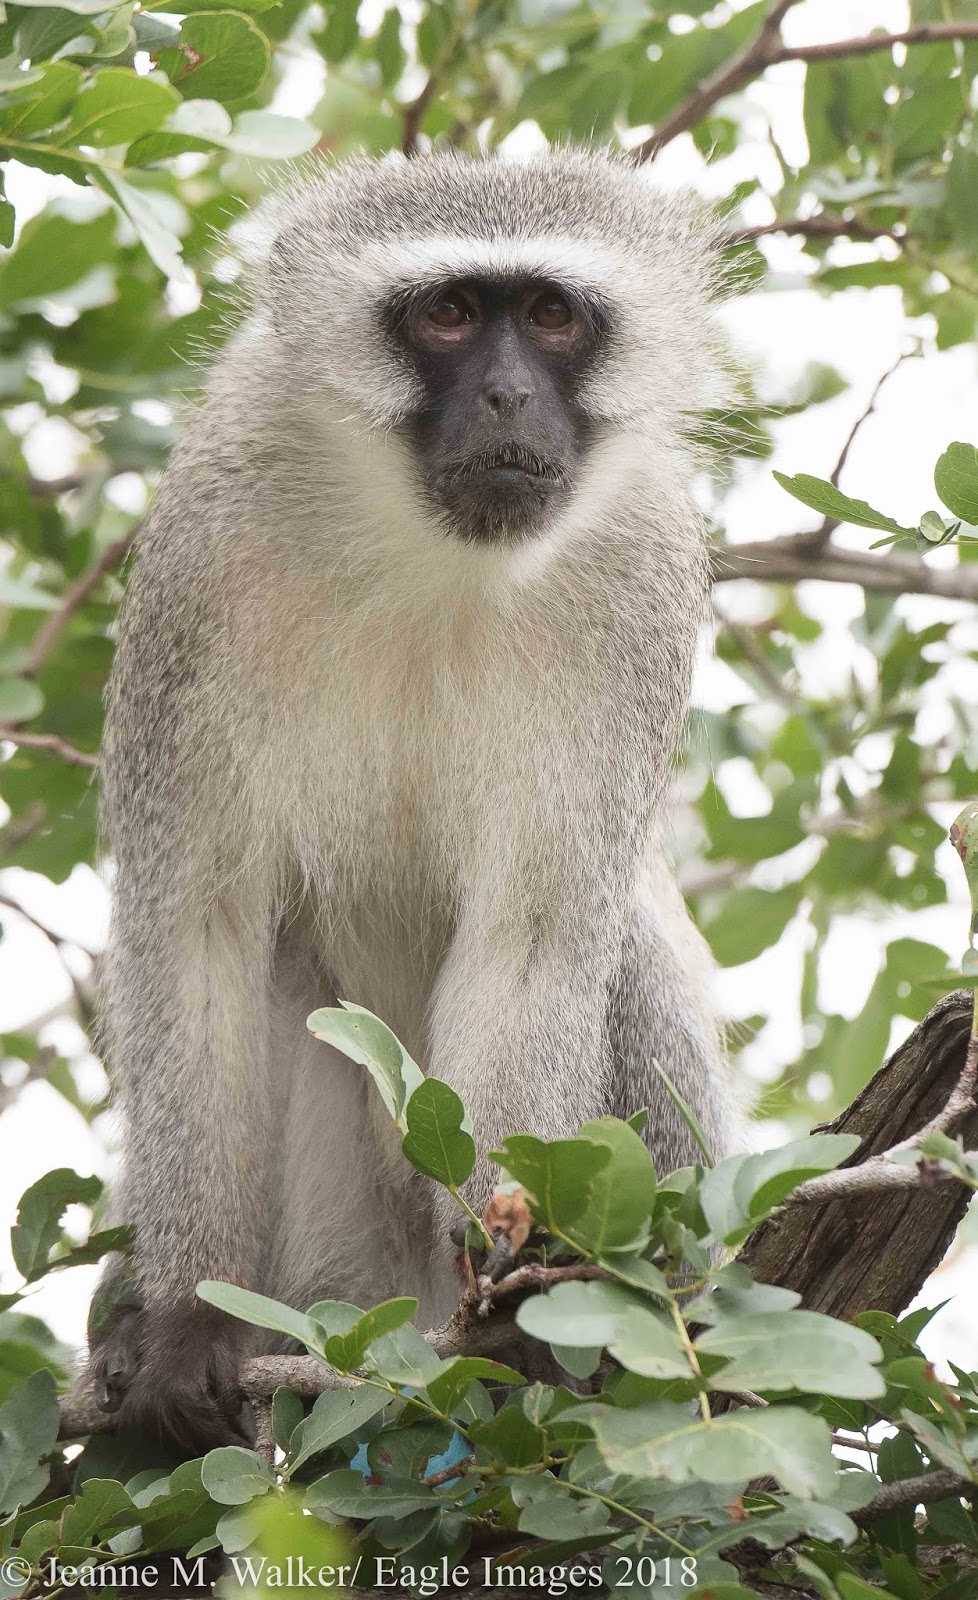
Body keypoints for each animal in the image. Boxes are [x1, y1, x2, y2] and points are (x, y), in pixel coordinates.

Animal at [89, 148, 733, 1452]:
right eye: (448, 313)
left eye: (552, 316)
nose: (507, 400)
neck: (439, 558)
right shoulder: (201, 557)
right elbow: (198, 932)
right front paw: (182, 1320)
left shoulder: (641, 584)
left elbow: (535, 943)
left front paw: (524, 1303)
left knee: (618, 951)